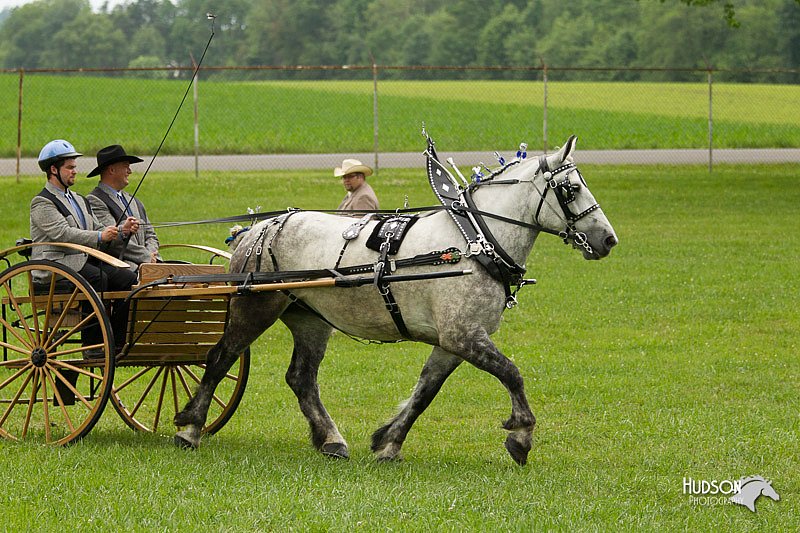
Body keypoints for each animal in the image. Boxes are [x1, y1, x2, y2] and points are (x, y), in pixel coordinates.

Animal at [173, 135, 620, 464]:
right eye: (571, 188)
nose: (608, 239)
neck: (473, 241)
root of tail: (257, 228)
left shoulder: (453, 342)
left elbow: (425, 391)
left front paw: (389, 441)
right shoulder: (463, 335)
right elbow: (512, 373)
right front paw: (522, 436)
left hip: (309, 318)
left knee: (301, 378)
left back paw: (331, 439)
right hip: (255, 308)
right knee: (220, 358)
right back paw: (190, 428)